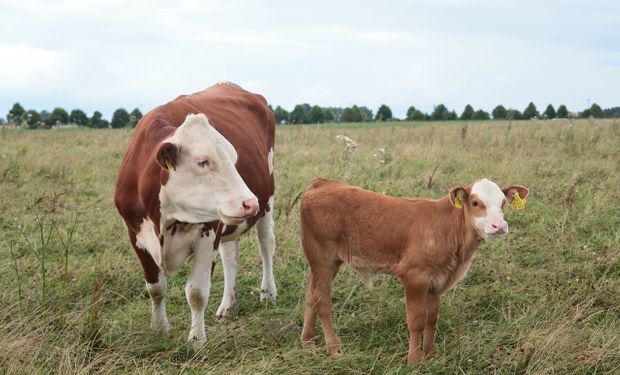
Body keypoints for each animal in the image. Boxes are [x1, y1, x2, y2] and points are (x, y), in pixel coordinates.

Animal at [114, 82, 278, 344]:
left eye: (234, 158)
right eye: (203, 161)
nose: (249, 202)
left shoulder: (208, 232)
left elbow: (197, 293)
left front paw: (197, 340)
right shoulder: (136, 235)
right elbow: (155, 288)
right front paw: (160, 328)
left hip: (267, 200)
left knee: (266, 245)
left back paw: (268, 293)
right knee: (230, 255)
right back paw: (228, 304)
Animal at [300, 178, 528, 366]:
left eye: (503, 203)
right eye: (475, 202)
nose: (499, 226)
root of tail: (322, 183)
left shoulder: (437, 282)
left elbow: (432, 318)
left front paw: (430, 355)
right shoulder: (415, 276)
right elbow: (417, 319)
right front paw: (414, 360)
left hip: (327, 262)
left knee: (311, 295)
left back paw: (308, 342)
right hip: (322, 258)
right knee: (323, 301)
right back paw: (334, 348)